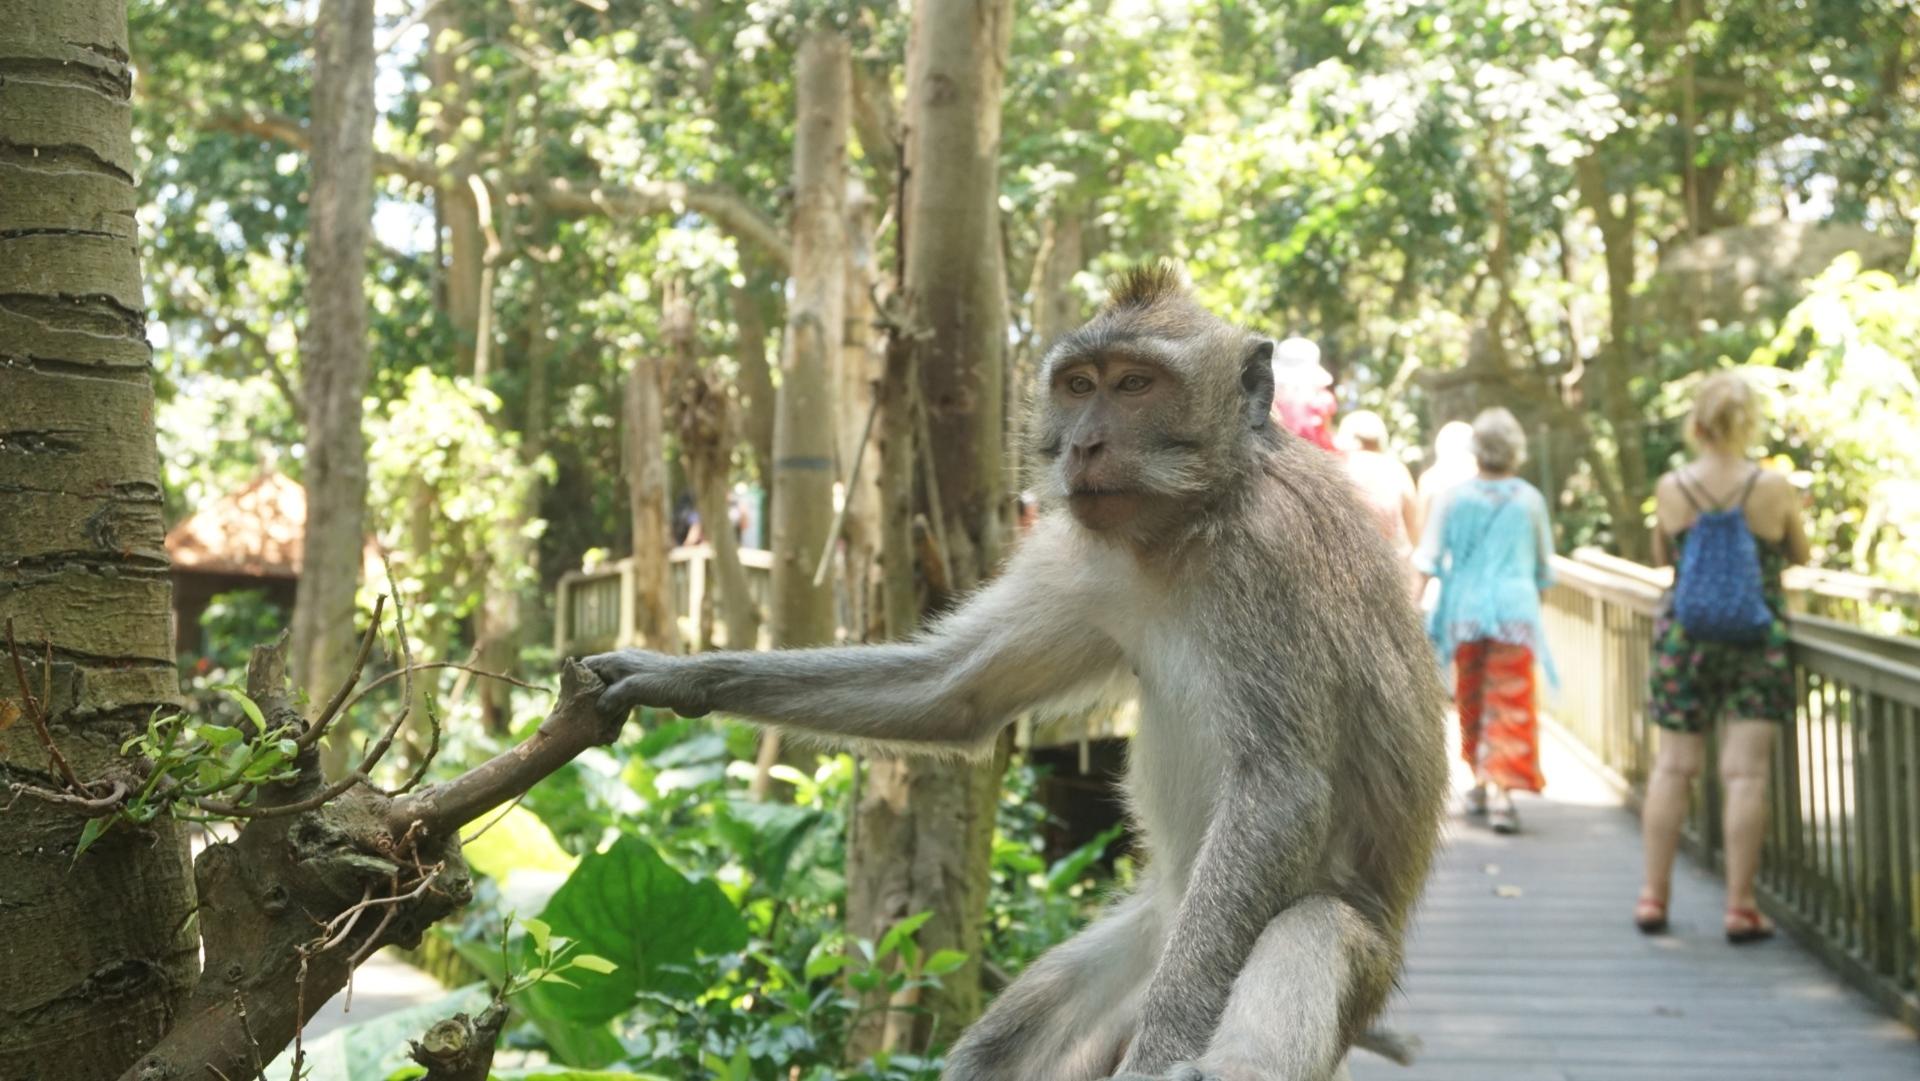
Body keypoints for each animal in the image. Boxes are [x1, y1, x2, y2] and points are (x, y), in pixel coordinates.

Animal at [585, 263, 1448, 1081]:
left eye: (1136, 385)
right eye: (1080, 385)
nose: (1084, 445)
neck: (1188, 525)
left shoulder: (1270, 564)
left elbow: (1281, 791)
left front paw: (1161, 1047)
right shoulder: (1087, 563)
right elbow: (956, 690)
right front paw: (675, 676)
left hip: (1305, 957)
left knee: (1315, 925)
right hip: (1145, 941)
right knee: (1001, 1048)